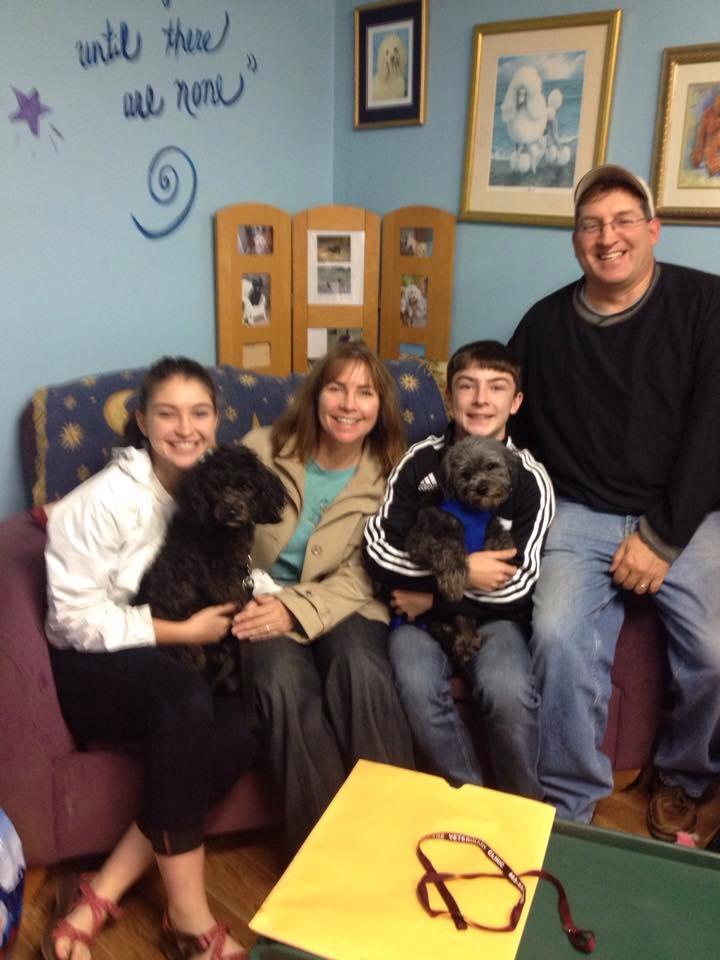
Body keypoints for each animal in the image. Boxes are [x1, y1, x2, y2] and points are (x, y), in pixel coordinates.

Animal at [405, 436, 517, 664]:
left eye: (490, 466)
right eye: (465, 474)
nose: (482, 488)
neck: (471, 512)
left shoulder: (489, 524)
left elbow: (500, 533)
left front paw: (499, 547)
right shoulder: (419, 540)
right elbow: (449, 546)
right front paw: (454, 576)